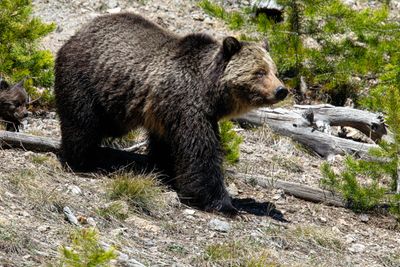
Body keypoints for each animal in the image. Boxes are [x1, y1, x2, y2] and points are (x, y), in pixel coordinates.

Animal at [55, 13, 288, 216]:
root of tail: (78, 33)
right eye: (259, 72)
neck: (210, 93)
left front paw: (166, 172)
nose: (281, 90)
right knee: (82, 125)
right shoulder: (189, 107)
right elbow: (200, 155)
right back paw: (84, 161)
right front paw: (224, 205)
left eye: (275, 71)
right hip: (86, 81)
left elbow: (169, 147)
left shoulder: (171, 114)